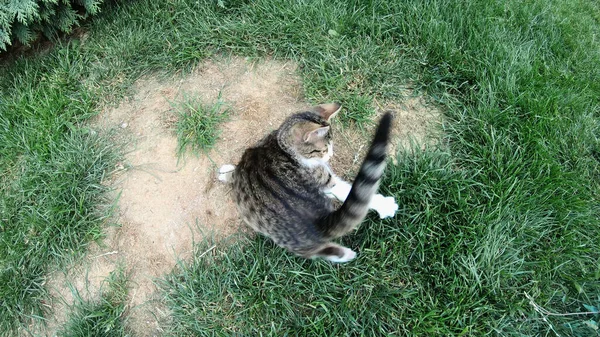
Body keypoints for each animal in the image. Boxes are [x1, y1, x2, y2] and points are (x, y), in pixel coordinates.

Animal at [218, 103, 396, 262]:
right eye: (324, 149)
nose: (331, 155)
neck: (282, 148)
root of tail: (317, 220)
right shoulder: (325, 180)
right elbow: (345, 190)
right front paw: (385, 205)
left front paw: (226, 172)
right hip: (292, 241)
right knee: (316, 251)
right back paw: (345, 255)